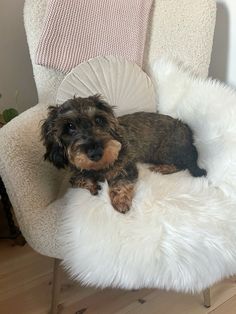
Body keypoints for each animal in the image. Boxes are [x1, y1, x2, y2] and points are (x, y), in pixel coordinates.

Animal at [42, 95, 206, 213]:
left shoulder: (127, 167)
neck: (99, 167)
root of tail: (187, 129)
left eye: (99, 119)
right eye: (69, 126)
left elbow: (121, 183)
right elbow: (78, 180)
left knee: (181, 165)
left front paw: (121, 201)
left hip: (164, 150)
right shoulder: (77, 174)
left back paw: (161, 168)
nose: (96, 152)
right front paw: (93, 186)